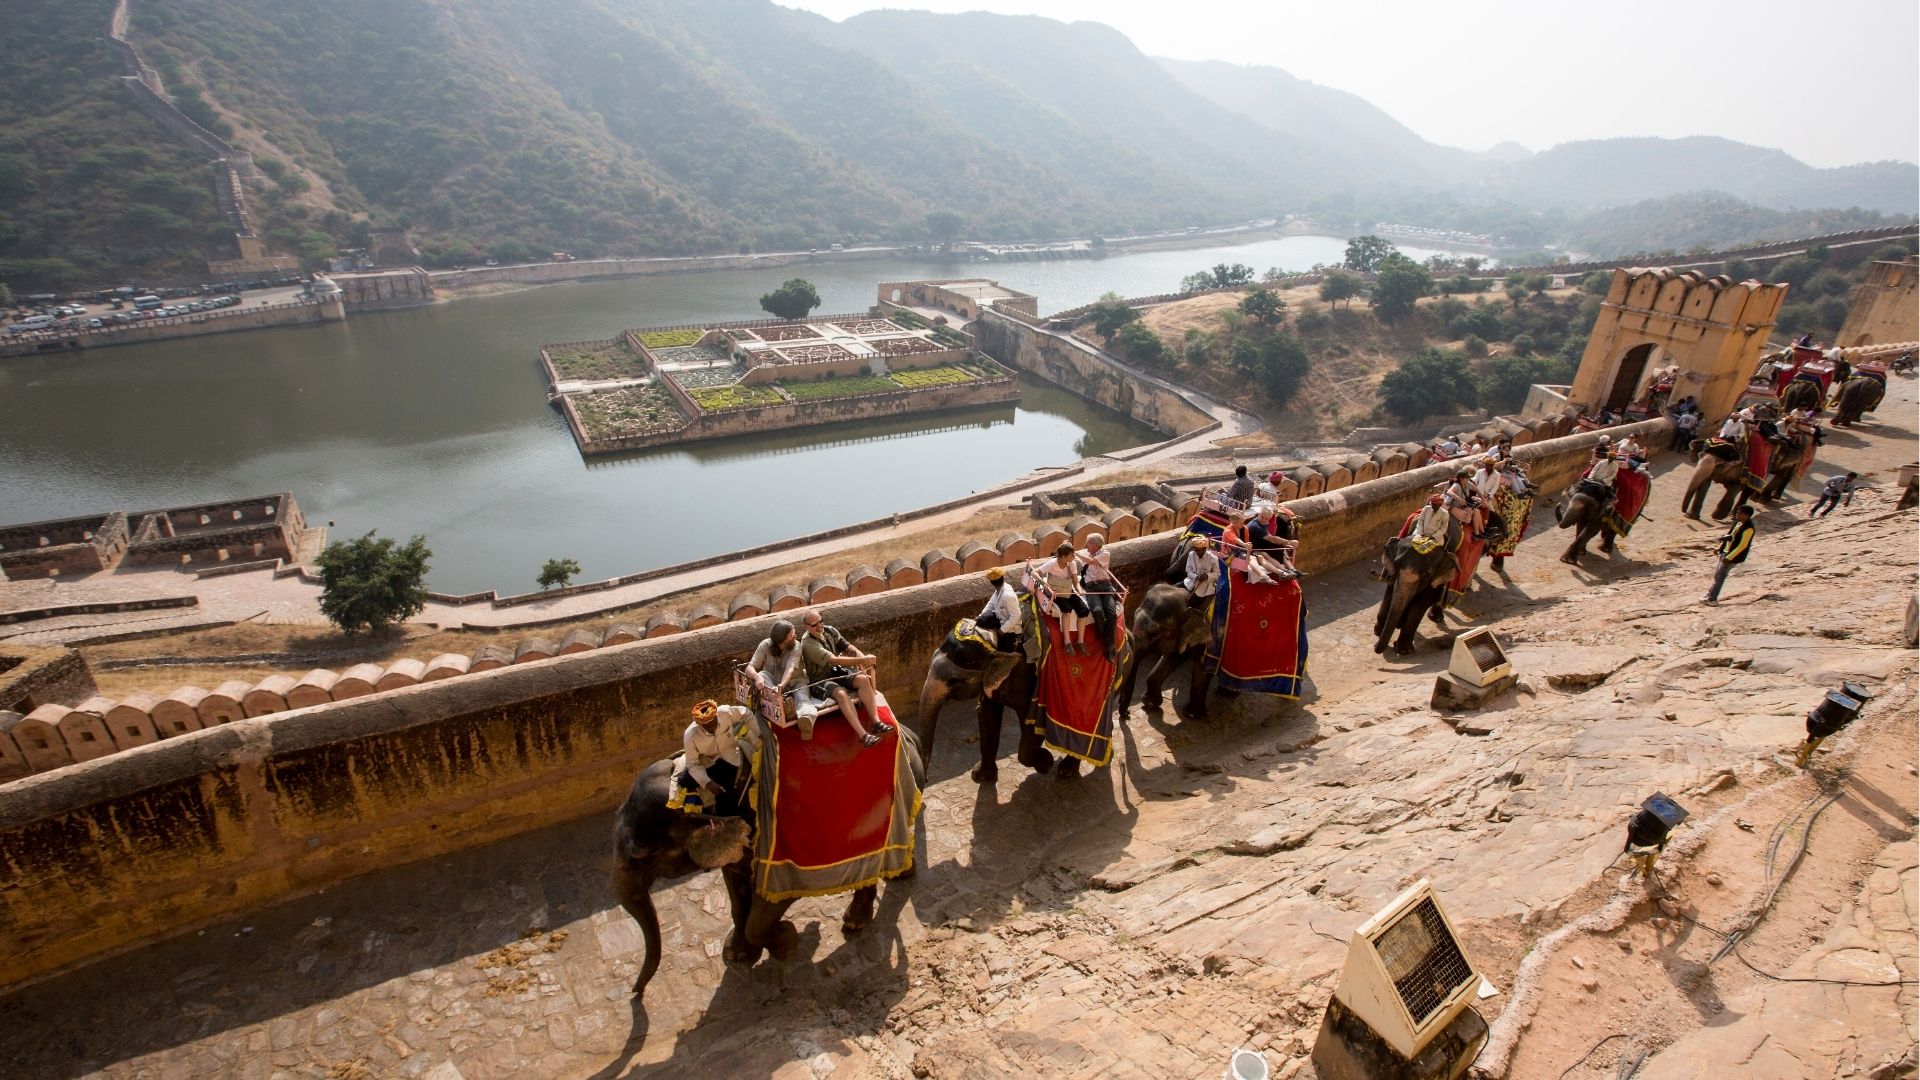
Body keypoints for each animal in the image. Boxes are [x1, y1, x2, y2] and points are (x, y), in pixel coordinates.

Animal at [612, 724, 923, 997]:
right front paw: (737, 953)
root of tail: (907, 733)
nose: (636, 993)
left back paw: (857, 921)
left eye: (641, 856)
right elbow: (736, 892)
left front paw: (787, 941)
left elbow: (771, 904)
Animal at [916, 626, 1051, 784]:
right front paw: (980, 776)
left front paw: (1046, 762)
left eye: (953, 680)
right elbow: (986, 714)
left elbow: (1032, 723)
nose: (926, 779)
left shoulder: (1026, 678)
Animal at [1373, 519, 1461, 654]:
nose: (1375, 646)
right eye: (1396, 565)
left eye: (1426, 575)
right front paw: (1378, 632)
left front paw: (1403, 650)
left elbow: (1421, 603)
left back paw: (1436, 619)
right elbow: (1390, 591)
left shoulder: (1435, 577)